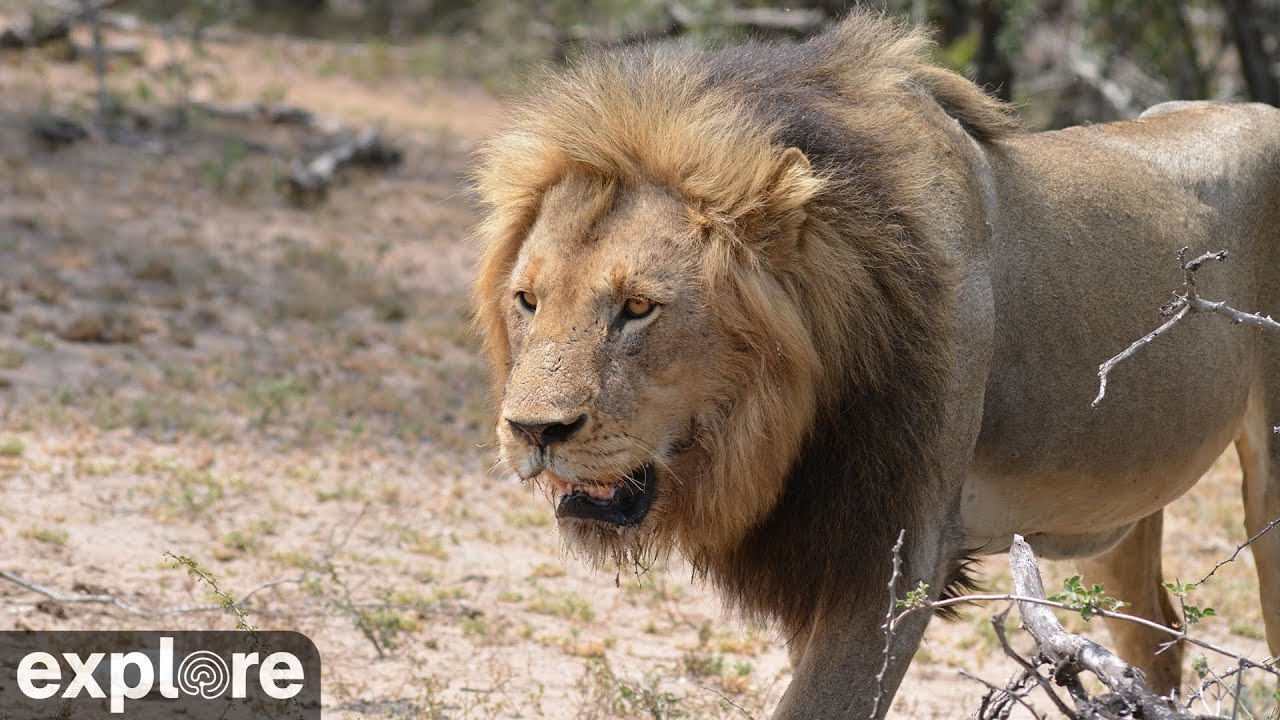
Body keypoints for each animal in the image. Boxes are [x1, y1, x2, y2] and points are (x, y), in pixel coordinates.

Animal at [473, 11, 1280, 717]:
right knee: (1158, 636)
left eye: (638, 307)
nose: (533, 431)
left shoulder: (896, 557)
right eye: (528, 300)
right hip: (1109, 497)